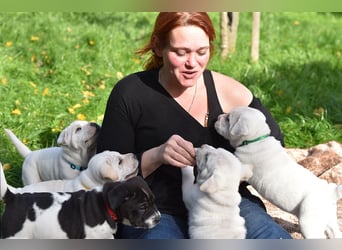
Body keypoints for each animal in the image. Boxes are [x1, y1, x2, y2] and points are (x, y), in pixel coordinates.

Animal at [215, 105, 342, 238]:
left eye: (228, 119)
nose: (218, 117)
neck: (256, 139)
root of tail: (332, 192)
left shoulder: (242, 163)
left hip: (309, 222)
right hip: (329, 219)